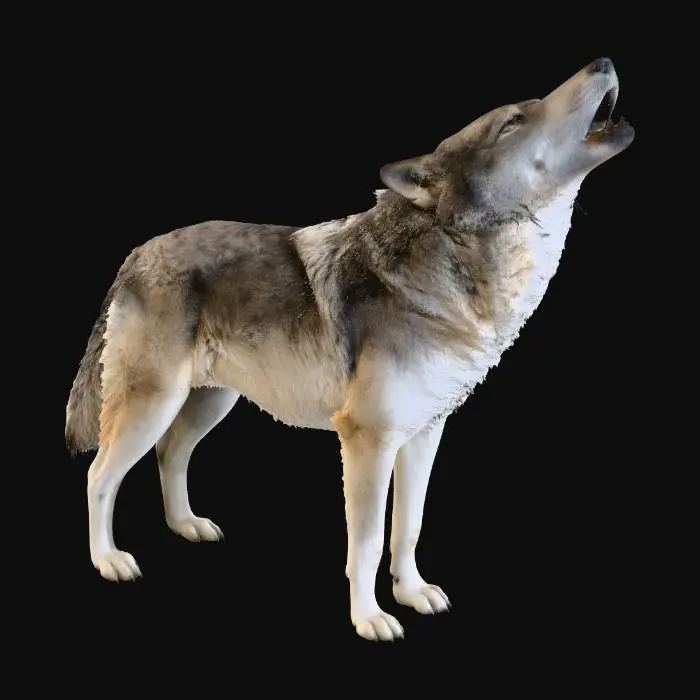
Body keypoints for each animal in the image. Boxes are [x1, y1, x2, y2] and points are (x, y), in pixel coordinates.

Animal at [66, 58, 633, 641]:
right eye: (513, 122)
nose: (603, 63)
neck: (452, 276)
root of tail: (137, 253)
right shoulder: (367, 441)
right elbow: (365, 544)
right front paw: (370, 617)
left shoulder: (424, 434)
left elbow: (408, 527)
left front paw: (412, 592)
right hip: (154, 405)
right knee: (99, 475)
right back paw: (108, 559)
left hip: (208, 403)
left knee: (170, 453)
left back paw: (186, 525)